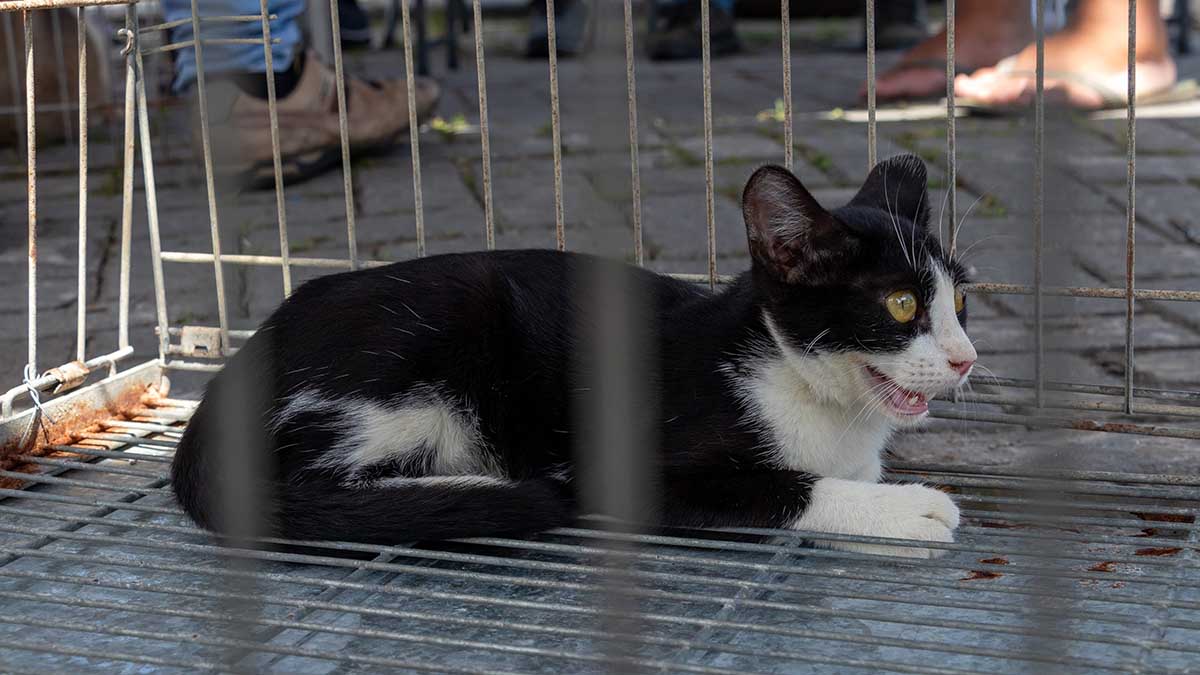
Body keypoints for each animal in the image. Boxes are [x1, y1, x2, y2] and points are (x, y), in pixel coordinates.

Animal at [169, 152, 974, 557]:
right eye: (901, 305)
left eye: (960, 300)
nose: (966, 358)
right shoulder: (634, 460)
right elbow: (786, 487)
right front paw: (910, 506)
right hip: (428, 347)